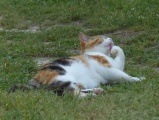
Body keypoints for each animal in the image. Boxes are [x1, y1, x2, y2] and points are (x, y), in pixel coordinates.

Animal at [8, 32, 145, 97]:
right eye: (101, 38)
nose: (111, 39)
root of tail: (35, 80)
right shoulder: (108, 69)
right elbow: (123, 74)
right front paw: (137, 79)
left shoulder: (115, 67)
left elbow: (121, 61)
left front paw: (115, 49)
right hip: (63, 77)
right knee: (73, 94)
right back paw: (92, 96)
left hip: (73, 82)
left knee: (77, 89)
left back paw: (97, 90)